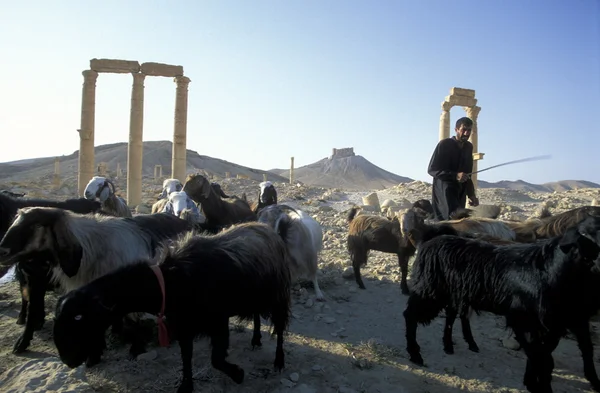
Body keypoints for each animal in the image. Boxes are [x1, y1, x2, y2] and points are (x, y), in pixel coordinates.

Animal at [54, 220, 292, 392]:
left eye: (78, 318)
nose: (67, 360)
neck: (170, 280)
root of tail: (269, 230)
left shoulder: (217, 321)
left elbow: (216, 359)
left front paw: (237, 374)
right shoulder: (183, 325)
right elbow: (186, 357)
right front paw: (186, 386)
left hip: (278, 296)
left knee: (280, 329)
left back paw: (279, 361)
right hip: (255, 297)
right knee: (256, 315)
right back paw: (256, 339)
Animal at [404, 214, 600, 392]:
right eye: (585, 237)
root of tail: (432, 240)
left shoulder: (560, 324)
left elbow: (561, 354)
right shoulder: (526, 321)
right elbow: (541, 359)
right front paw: (536, 386)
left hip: (453, 292)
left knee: (451, 315)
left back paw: (450, 345)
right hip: (430, 290)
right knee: (410, 315)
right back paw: (415, 355)